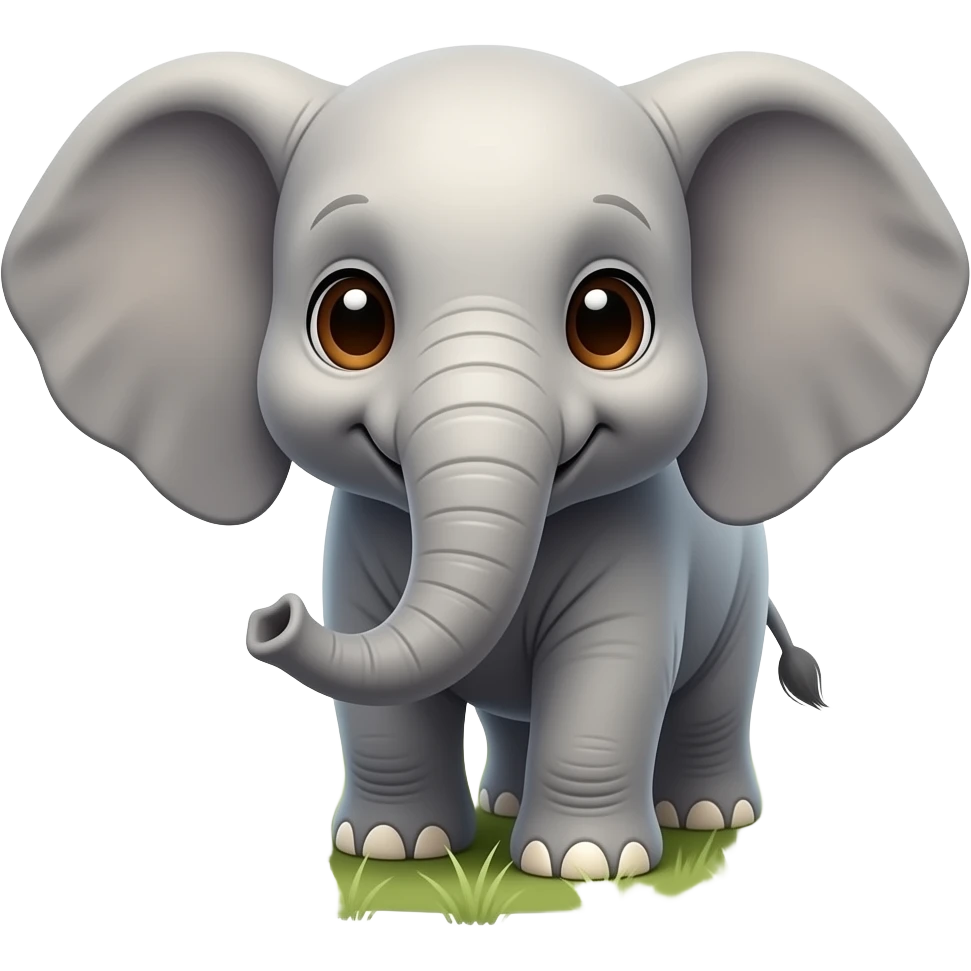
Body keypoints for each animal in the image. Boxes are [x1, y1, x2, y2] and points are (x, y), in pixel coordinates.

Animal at [1, 47, 967, 881]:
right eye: (350, 320)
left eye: (607, 320)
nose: (271, 615)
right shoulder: (364, 540)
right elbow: (382, 688)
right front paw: (393, 849)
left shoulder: (642, 548)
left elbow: (612, 672)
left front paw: (587, 864)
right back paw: (501, 802)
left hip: (740, 582)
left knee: (711, 693)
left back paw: (705, 817)